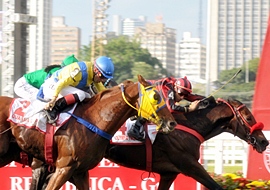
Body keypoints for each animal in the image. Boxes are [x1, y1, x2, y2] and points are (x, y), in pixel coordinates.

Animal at [103, 97, 268, 189]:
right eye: (248, 118)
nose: (264, 141)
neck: (190, 126)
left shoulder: (168, 173)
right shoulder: (190, 165)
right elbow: (216, 187)